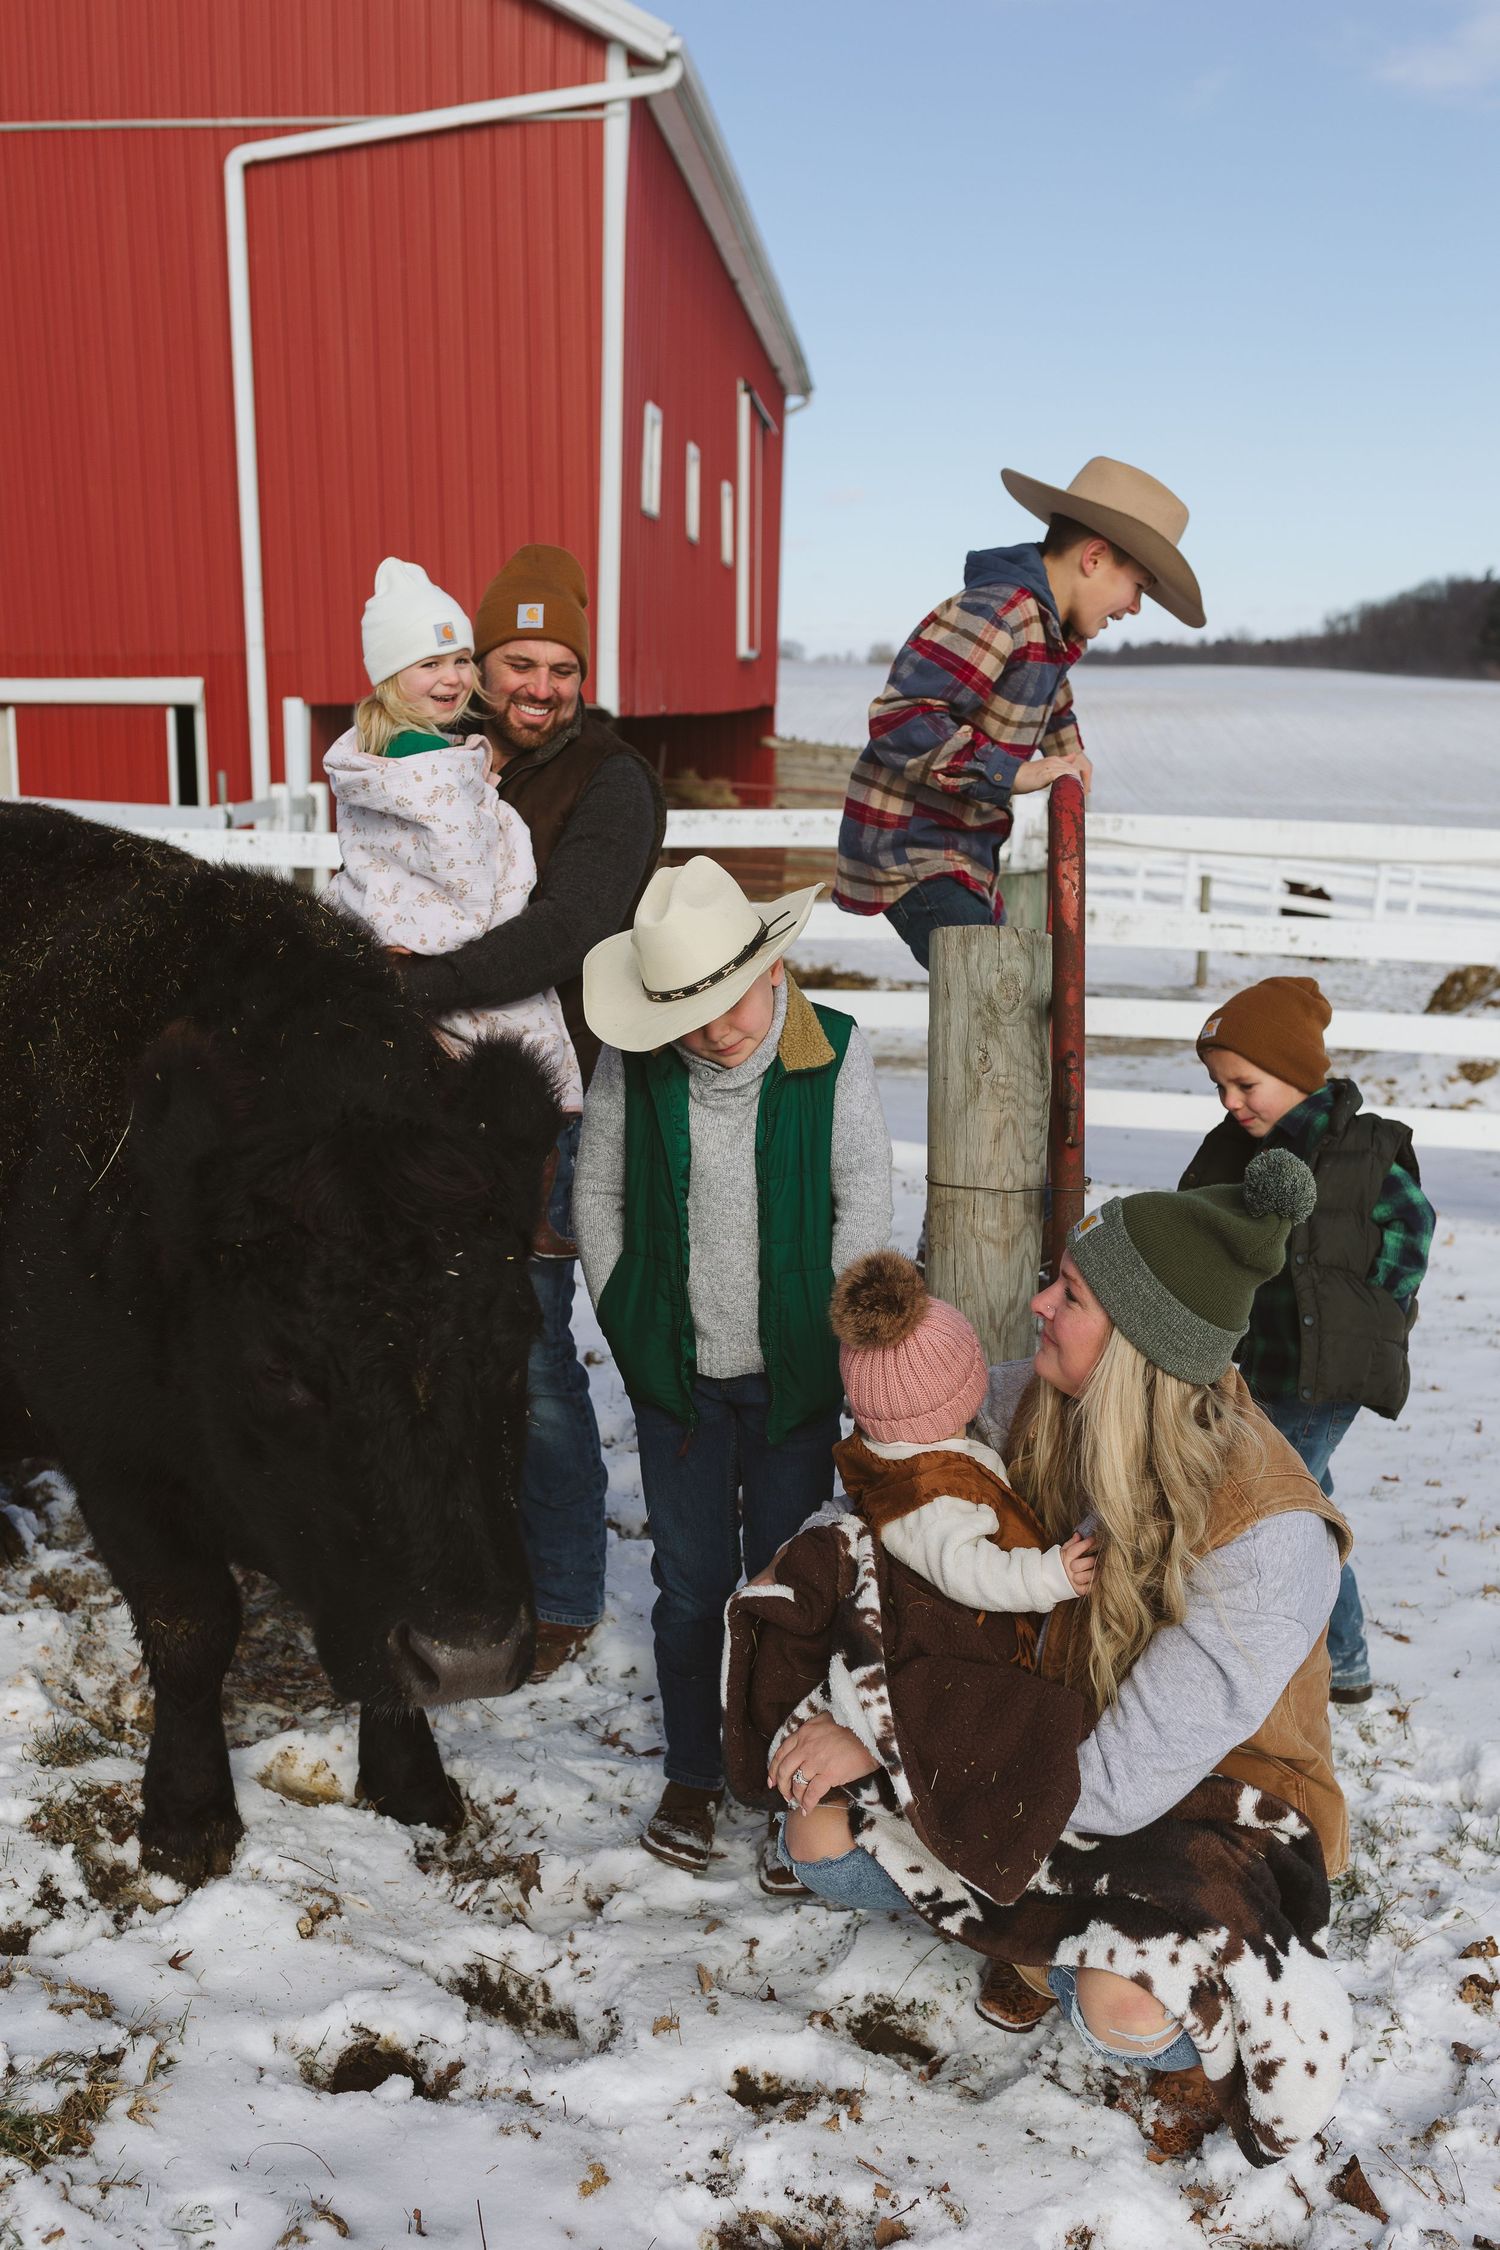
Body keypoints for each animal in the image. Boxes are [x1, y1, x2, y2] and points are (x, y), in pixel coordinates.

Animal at [0, 804, 561, 1884]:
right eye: (278, 1371)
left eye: (519, 1340)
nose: (468, 1653)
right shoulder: (117, 1458)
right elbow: (192, 1626)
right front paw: (187, 1816)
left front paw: (410, 1783)